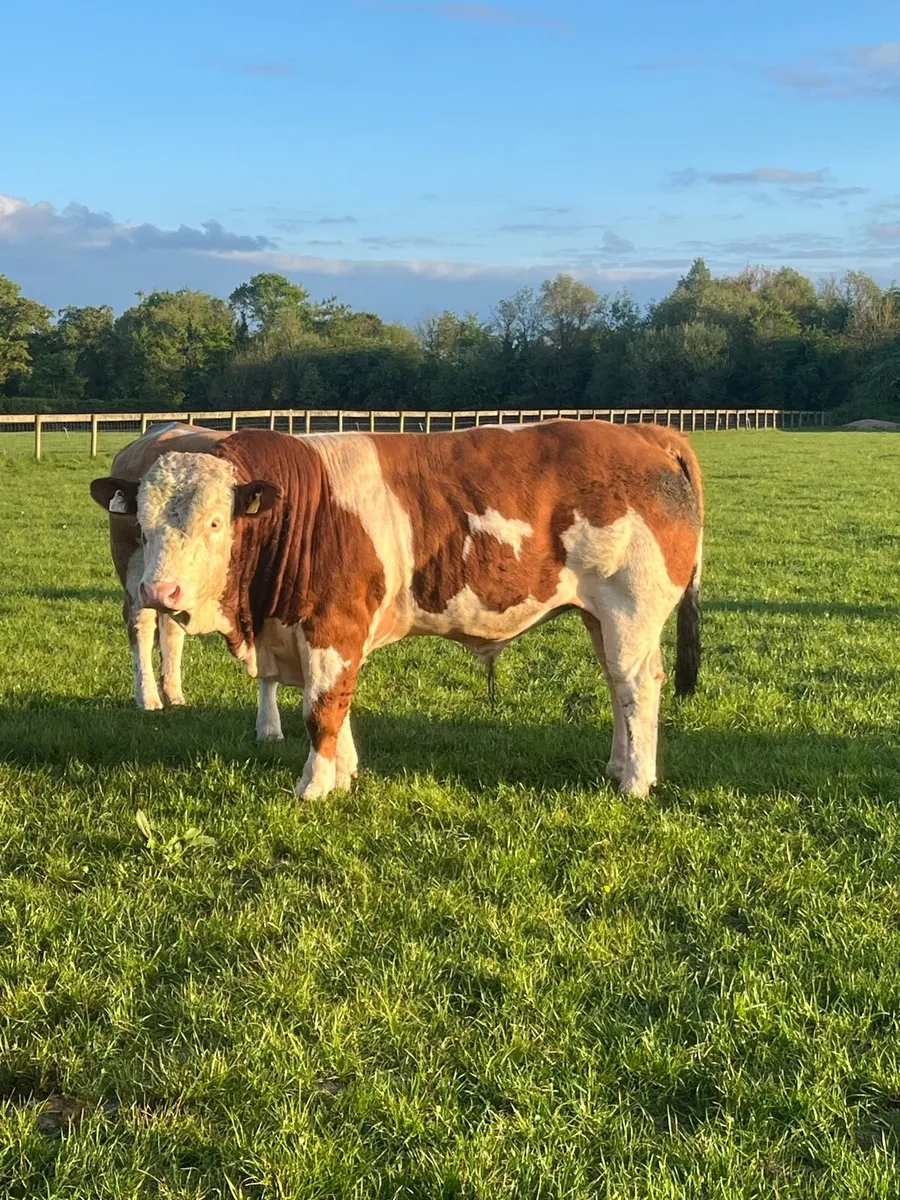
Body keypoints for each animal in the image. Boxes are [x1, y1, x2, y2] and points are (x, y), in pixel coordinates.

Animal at [89, 421, 286, 740]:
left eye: (215, 522)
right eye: (142, 523)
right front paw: (269, 727)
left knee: (170, 628)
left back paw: (173, 692)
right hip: (138, 575)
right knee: (141, 626)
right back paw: (148, 697)